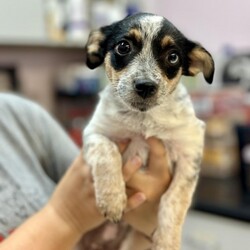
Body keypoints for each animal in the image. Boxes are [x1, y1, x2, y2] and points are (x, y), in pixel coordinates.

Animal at [83, 12, 214, 250]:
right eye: (123, 47)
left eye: (173, 57)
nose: (145, 86)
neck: (143, 119)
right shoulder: (95, 132)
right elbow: (107, 154)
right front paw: (112, 200)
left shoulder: (189, 153)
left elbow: (174, 200)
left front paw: (168, 241)